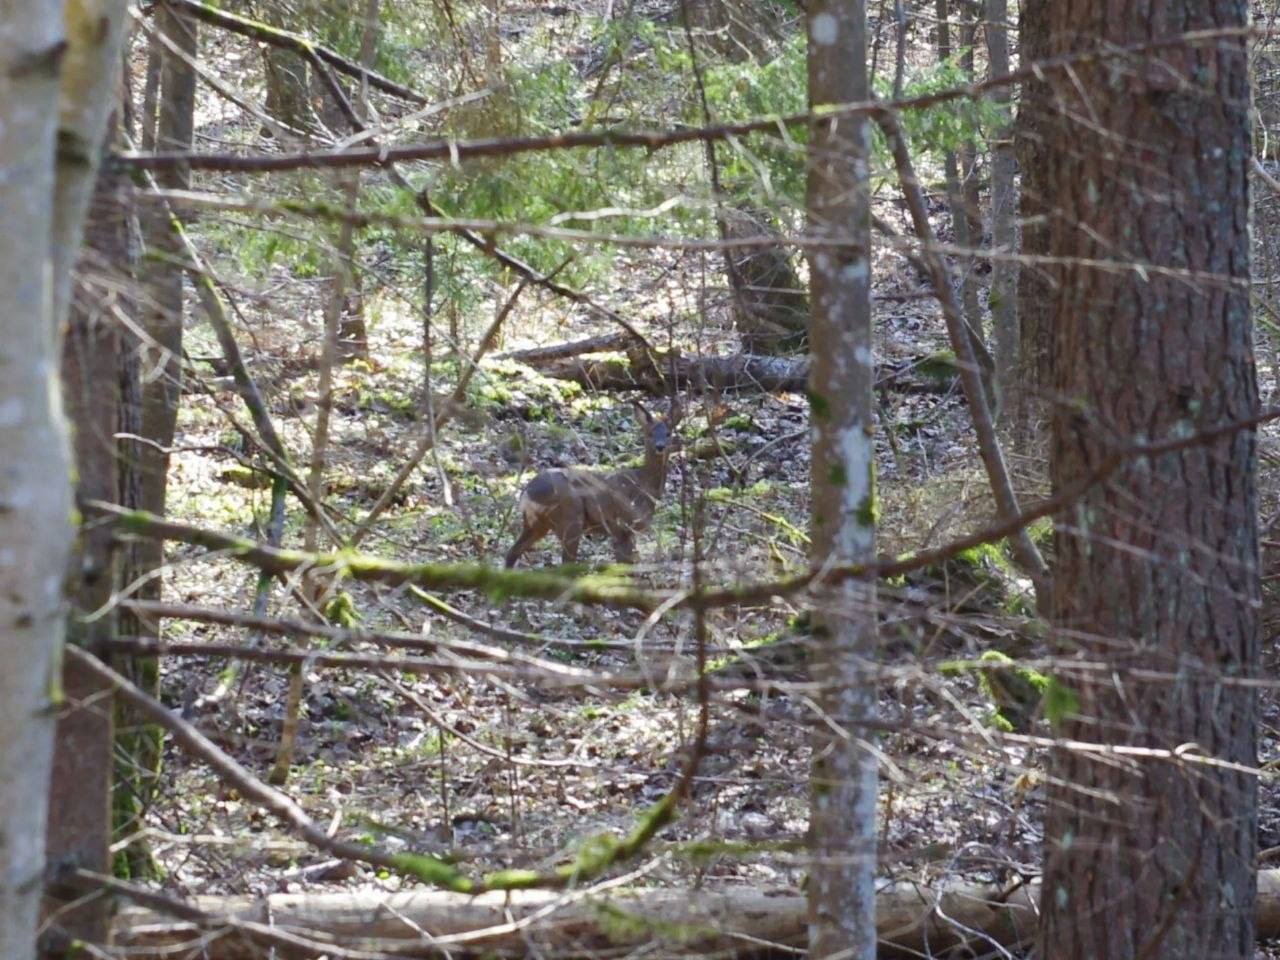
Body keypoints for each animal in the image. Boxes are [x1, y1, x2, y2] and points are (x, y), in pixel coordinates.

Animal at [504, 400, 683, 567]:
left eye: (668, 433)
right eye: (650, 433)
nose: (660, 446)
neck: (644, 484)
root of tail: (526, 493)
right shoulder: (623, 525)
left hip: (535, 525)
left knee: (512, 553)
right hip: (570, 519)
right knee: (566, 563)